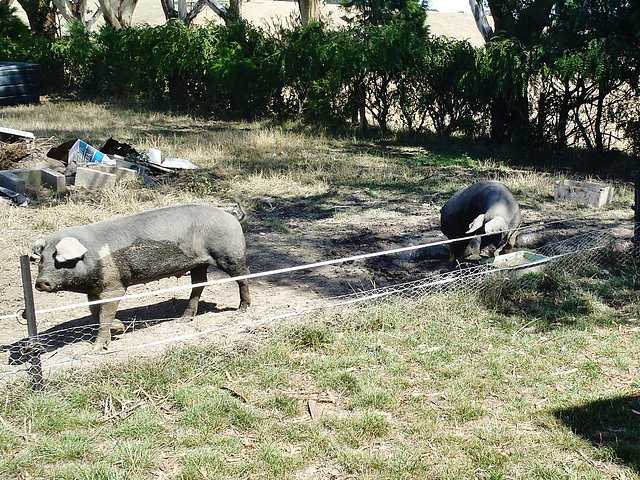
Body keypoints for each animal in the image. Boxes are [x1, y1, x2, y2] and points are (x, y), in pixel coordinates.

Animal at [31, 204, 250, 350]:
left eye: (60, 259)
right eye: (41, 260)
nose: (41, 282)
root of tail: (231, 216)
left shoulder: (115, 285)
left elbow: (104, 315)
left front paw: (96, 349)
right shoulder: (94, 290)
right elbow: (95, 313)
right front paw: (119, 327)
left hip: (230, 254)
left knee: (243, 277)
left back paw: (242, 309)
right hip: (198, 263)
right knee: (199, 284)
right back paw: (183, 319)